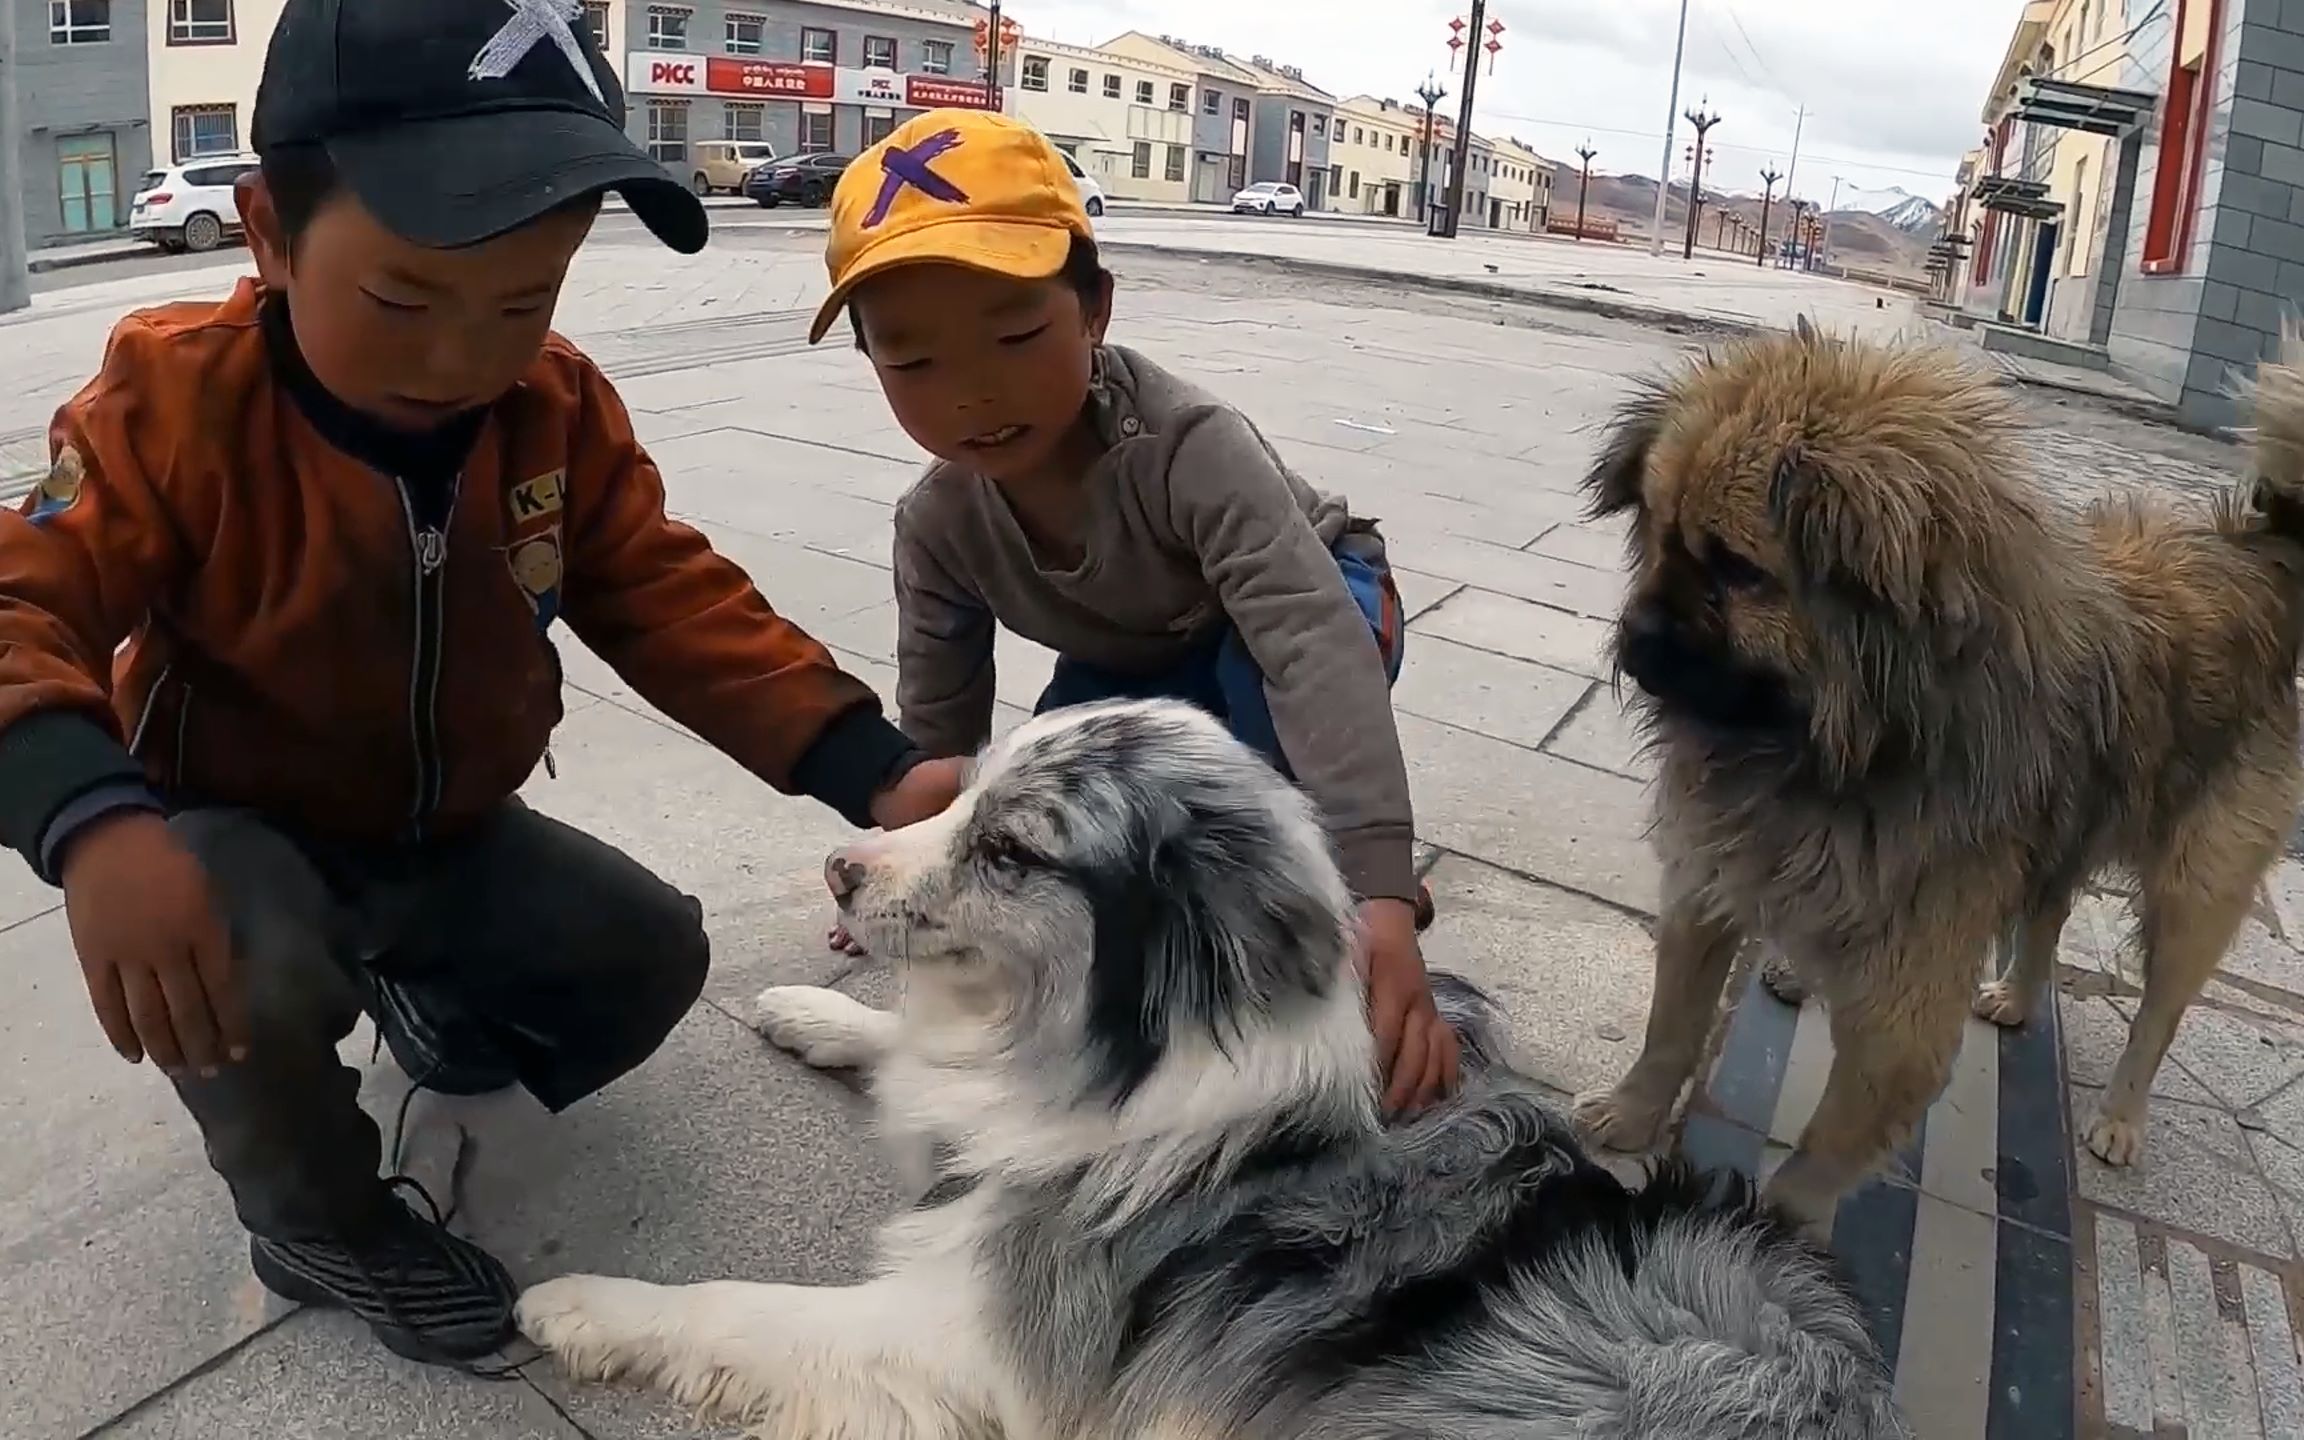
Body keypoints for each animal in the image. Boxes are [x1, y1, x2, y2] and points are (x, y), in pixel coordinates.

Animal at [1575, 322, 2304, 1225]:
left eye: (1740, 571)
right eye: (1660, 532)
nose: (1634, 636)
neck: (1841, 750)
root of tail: (2261, 560)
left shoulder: (1902, 1023)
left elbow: (1816, 1161)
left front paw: (1768, 1244)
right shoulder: (1710, 887)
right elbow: (1669, 1033)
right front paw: (1634, 1114)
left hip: (2193, 890)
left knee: (2160, 1011)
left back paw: (2121, 1114)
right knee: (2048, 913)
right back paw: (2011, 996)